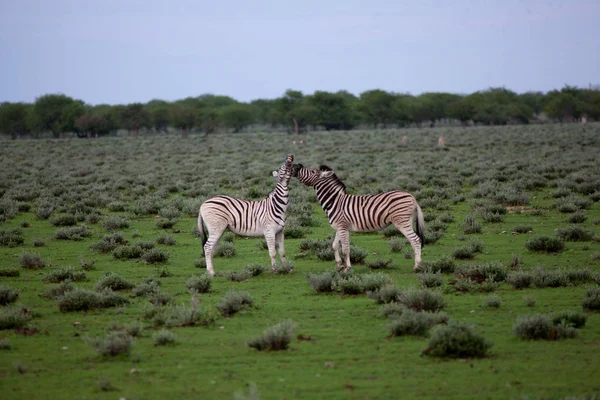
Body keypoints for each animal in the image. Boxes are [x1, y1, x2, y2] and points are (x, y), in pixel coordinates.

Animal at [292, 162, 424, 272]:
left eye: (313, 171)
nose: (296, 165)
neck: (335, 201)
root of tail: (412, 196)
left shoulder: (343, 227)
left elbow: (345, 249)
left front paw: (347, 268)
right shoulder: (340, 227)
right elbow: (334, 246)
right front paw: (339, 266)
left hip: (401, 221)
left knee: (415, 240)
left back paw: (417, 266)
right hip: (408, 220)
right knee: (414, 241)